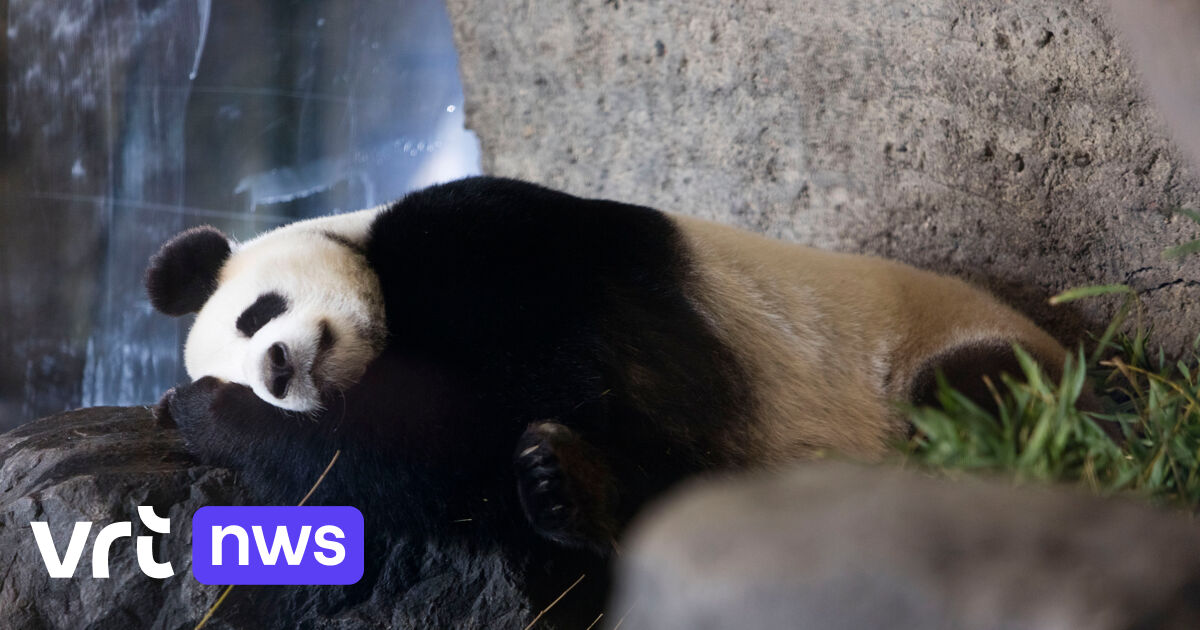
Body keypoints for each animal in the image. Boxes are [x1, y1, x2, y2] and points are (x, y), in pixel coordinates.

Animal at [150, 176, 1072, 615]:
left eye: (254, 315)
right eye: (245, 354)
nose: (274, 374)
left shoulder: (490, 241)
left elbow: (504, 403)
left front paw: (209, 416)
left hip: (946, 357)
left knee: (977, 410)